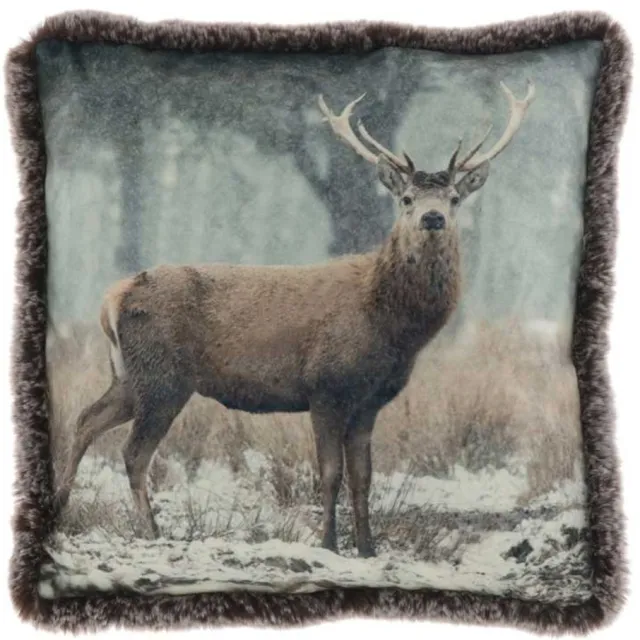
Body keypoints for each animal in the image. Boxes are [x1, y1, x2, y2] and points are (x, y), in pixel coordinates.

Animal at [54, 80, 535, 558]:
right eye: (406, 199)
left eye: (454, 198)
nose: (432, 218)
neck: (392, 328)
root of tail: (112, 298)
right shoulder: (325, 386)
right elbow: (330, 473)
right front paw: (328, 544)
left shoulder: (369, 401)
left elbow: (364, 478)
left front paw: (367, 549)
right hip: (162, 378)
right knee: (133, 453)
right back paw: (151, 532)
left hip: (128, 376)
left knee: (85, 420)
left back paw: (61, 507)